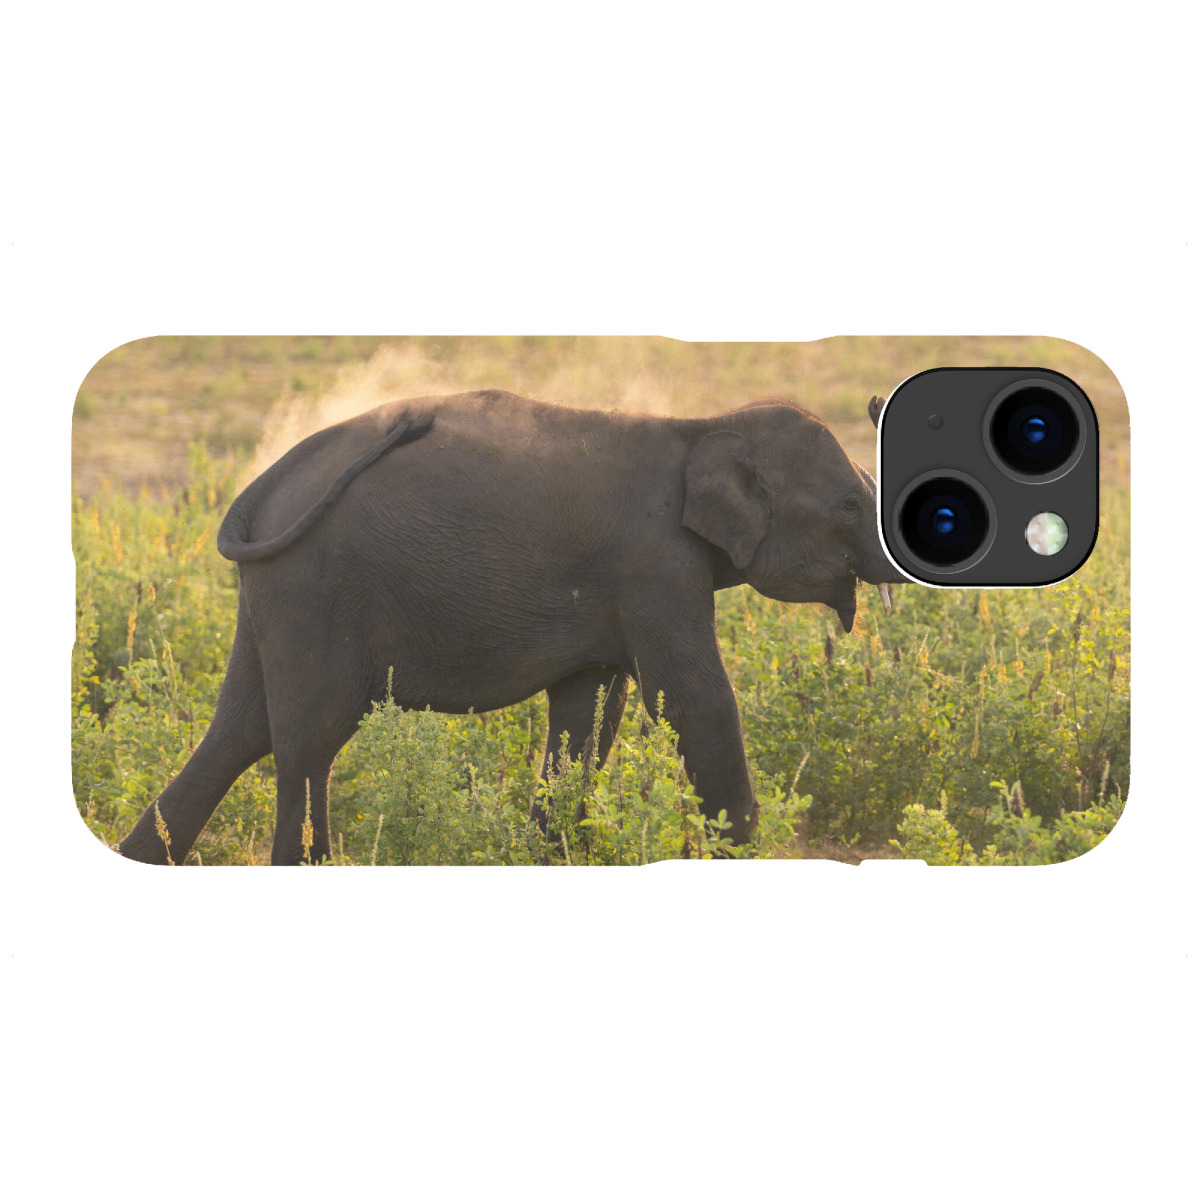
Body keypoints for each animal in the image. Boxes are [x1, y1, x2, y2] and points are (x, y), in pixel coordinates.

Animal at [117, 389, 905, 865]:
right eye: (845, 505)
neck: (704, 426)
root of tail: (265, 483)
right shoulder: (654, 564)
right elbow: (694, 703)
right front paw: (740, 855)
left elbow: (590, 716)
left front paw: (551, 854)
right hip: (313, 589)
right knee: (308, 740)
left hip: (276, 593)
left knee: (239, 733)